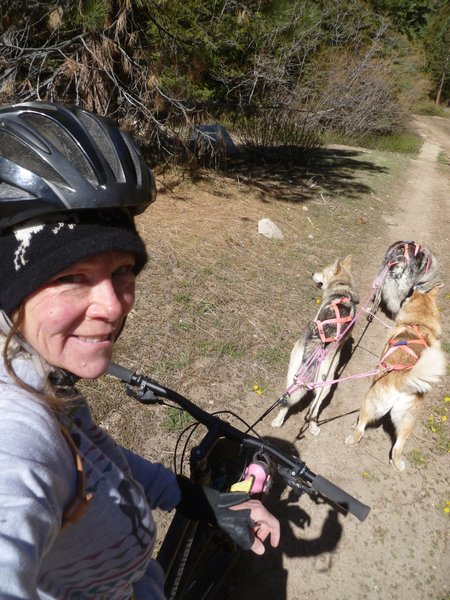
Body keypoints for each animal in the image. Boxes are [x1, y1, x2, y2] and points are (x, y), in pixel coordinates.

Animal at [270, 255, 358, 434]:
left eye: (322, 272)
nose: (312, 273)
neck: (343, 287)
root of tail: (319, 341)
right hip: (320, 379)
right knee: (311, 408)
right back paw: (308, 425)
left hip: (312, 374)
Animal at [344, 284, 446, 472]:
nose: (407, 294)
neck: (419, 324)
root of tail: (402, 379)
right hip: (408, 419)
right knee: (398, 447)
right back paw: (397, 464)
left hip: (370, 402)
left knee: (361, 429)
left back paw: (352, 439)